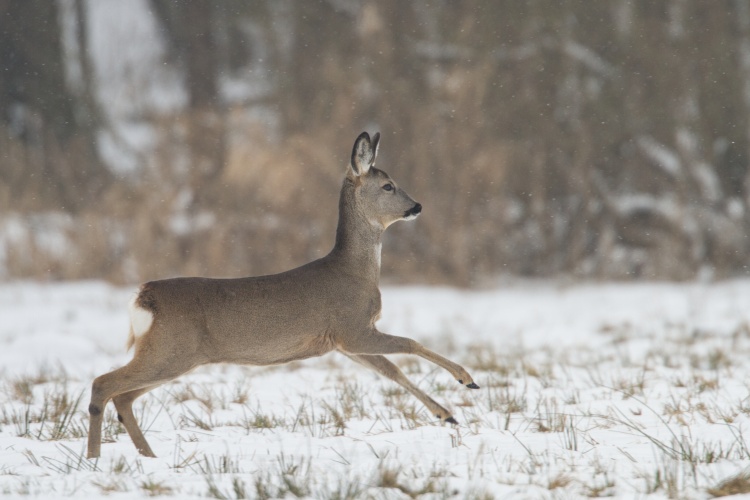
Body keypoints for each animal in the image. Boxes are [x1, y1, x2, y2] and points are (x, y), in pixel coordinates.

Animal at [86, 132, 476, 458]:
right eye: (388, 186)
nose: (418, 206)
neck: (355, 272)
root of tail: (143, 295)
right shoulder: (352, 327)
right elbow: (411, 344)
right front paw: (466, 379)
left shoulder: (344, 342)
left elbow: (392, 371)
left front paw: (446, 414)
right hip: (171, 350)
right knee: (102, 384)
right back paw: (94, 459)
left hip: (171, 355)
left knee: (123, 397)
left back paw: (148, 457)